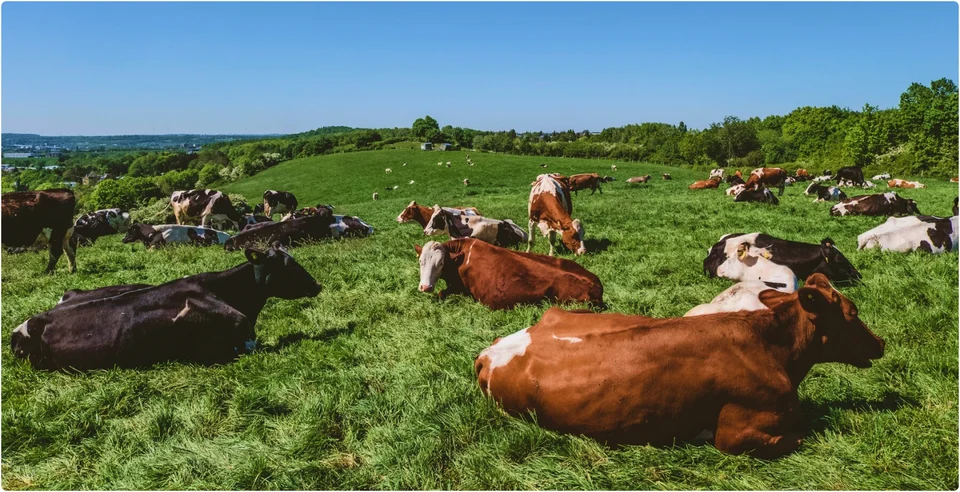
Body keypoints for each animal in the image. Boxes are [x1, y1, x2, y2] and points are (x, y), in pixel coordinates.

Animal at [414, 238, 603, 310]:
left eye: (440, 263)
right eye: (421, 261)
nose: (425, 287)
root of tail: (596, 285)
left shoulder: (461, 288)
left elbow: (441, 293)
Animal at [474, 273, 884, 458]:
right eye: (852, 312)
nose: (881, 342)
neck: (770, 345)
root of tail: (490, 351)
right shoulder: (737, 435)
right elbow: (803, 435)